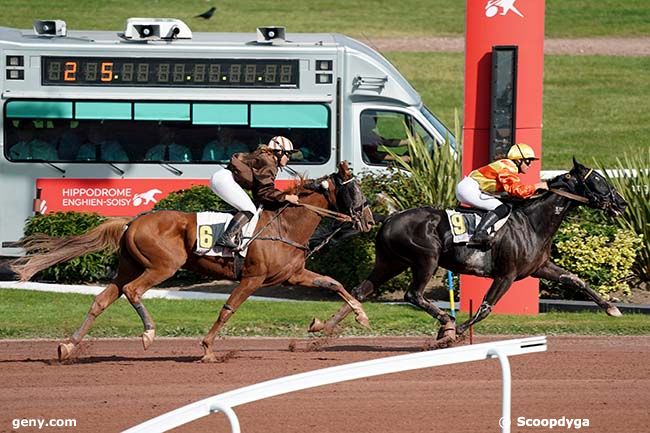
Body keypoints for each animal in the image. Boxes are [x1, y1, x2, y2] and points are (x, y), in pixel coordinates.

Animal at [12, 160, 372, 360]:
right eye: (355, 191)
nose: (368, 220)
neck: (283, 226)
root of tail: (133, 221)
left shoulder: (292, 275)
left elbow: (334, 283)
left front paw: (351, 318)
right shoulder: (253, 278)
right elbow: (228, 310)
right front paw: (208, 348)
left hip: (128, 266)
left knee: (102, 299)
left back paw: (68, 347)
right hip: (162, 266)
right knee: (133, 291)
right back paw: (148, 333)